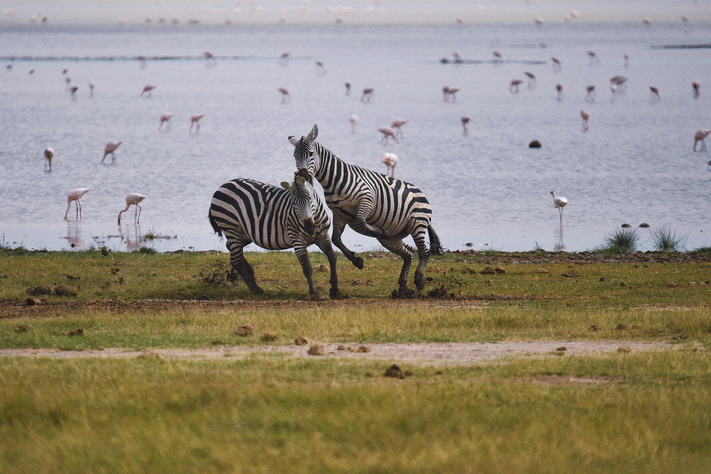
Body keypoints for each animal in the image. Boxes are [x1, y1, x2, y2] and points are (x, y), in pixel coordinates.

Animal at [209, 174, 340, 300]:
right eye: (293, 204)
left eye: (310, 199)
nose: (308, 227)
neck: (315, 220)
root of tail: (224, 185)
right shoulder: (297, 240)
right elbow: (307, 267)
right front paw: (314, 294)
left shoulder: (323, 236)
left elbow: (332, 257)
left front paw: (334, 289)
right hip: (231, 227)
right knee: (235, 261)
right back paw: (255, 288)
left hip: (244, 233)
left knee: (231, 248)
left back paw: (251, 275)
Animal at [288, 125, 442, 296]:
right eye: (295, 155)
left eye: (310, 153)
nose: (301, 174)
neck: (333, 182)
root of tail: (421, 192)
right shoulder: (339, 213)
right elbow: (336, 239)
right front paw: (356, 260)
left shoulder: (366, 199)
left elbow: (361, 223)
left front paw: (380, 231)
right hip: (395, 238)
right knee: (408, 254)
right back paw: (403, 286)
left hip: (417, 223)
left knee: (423, 252)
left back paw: (419, 280)